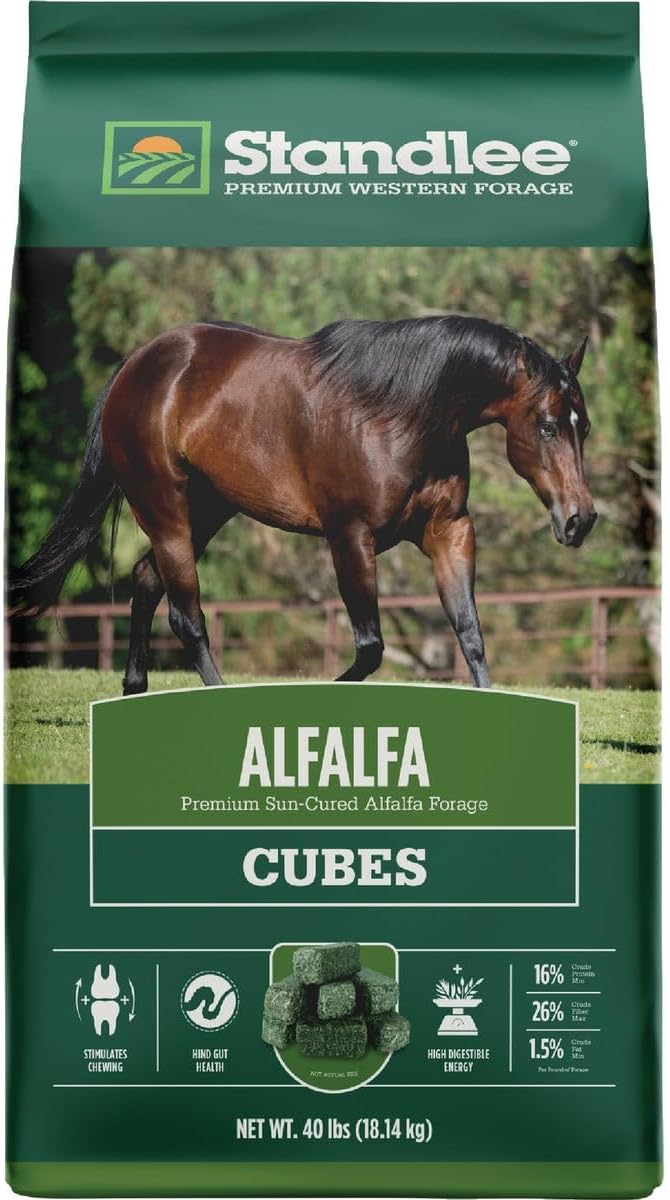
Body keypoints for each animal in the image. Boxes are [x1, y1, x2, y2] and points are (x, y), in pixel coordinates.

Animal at [9, 315, 597, 692]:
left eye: (583, 427)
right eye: (548, 425)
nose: (581, 519)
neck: (402, 415)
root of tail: (136, 365)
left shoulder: (449, 532)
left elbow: (470, 636)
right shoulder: (350, 536)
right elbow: (369, 647)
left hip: (208, 510)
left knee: (147, 580)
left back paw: (135, 688)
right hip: (166, 511)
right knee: (186, 616)